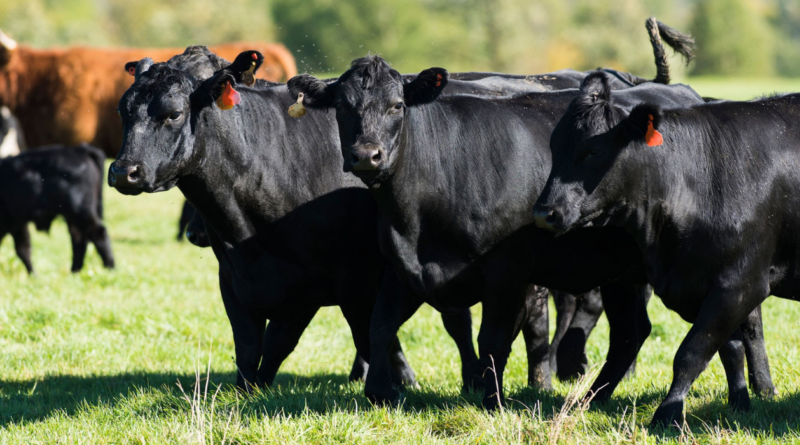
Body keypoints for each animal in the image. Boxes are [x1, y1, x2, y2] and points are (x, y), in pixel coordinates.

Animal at [0, 144, 115, 272]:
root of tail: (80, 150)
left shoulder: (15, 223)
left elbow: (22, 249)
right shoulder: (17, 223)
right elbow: (23, 248)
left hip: (81, 211)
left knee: (99, 234)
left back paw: (109, 267)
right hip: (72, 217)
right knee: (79, 239)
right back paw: (75, 270)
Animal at [282, 54, 776, 410]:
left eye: (397, 106)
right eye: (342, 108)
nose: (368, 155)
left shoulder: (507, 273)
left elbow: (492, 340)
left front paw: (491, 399)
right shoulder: (402, 268)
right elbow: (380, 325)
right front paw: (381, 393)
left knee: (743, 323)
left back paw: (753, 393)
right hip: (624, 274)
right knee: (631, 333)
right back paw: (593, 399)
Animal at [532, 72, 792, 426]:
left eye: (593, 150)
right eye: (554, 145)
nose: (543, 212)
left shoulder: (741, 284)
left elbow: (691, 353)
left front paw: (667, 415)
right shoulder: (699, 285)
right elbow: (729, 348)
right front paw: (739, 404)